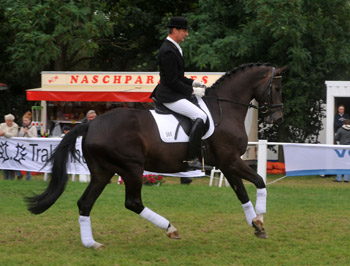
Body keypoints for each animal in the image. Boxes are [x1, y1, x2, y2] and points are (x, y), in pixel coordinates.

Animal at [26, 62, 288, 249]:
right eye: (276, 88)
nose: (278, 118)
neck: (225, 108)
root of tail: (91, 124)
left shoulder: (226, 163)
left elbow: (241, 192)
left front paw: (256, 225)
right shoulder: (230, 161)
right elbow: (260, 181)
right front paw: (260, 219)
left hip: (102, 171)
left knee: (85, 202)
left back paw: (91, 243)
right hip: (132, 168)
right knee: (133, 203)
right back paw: (171, 229)